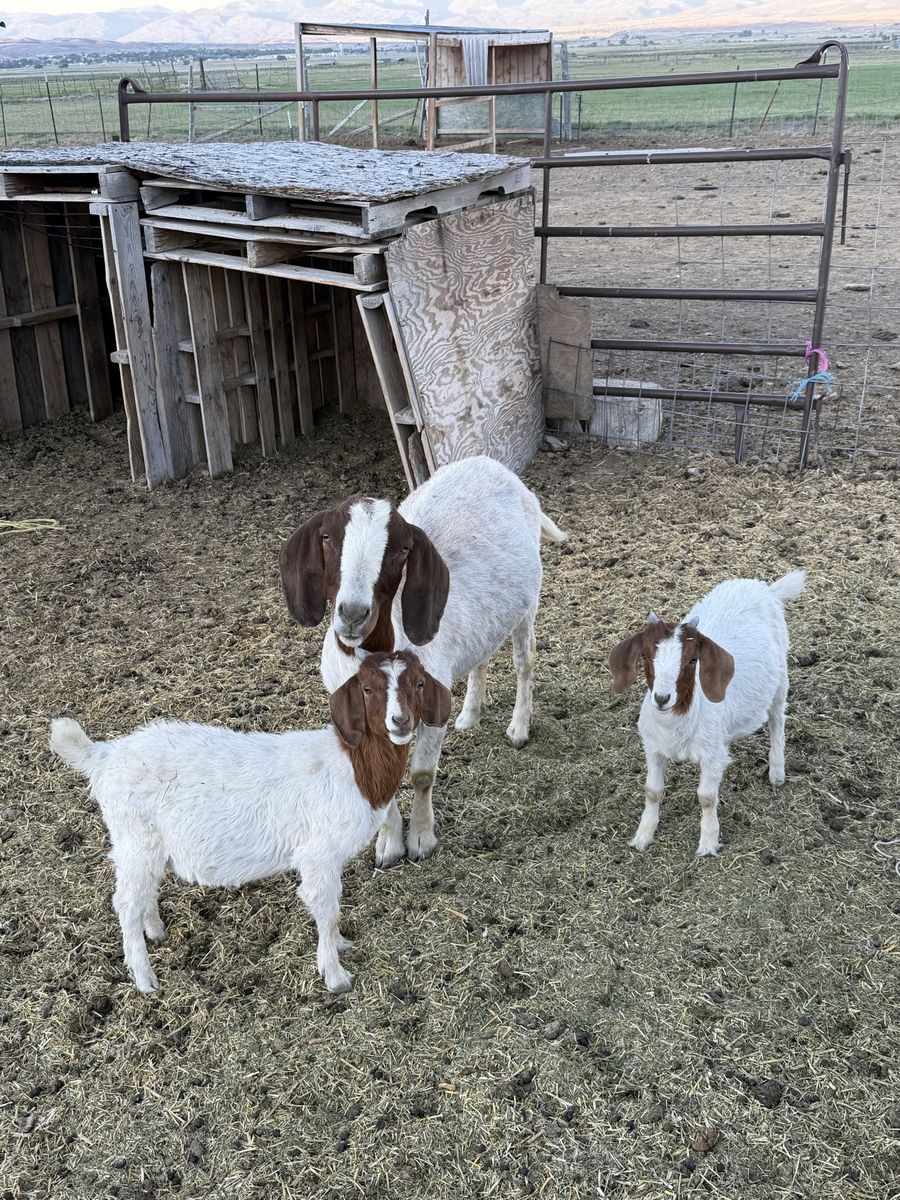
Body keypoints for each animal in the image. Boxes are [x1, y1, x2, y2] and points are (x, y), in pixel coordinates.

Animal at [49, 651, 450, 995]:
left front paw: (339, 945)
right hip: (135, 837)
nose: (400, 721)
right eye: (367, 689)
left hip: (147, 844)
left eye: (418, 683)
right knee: (126, 902)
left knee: (143, 890)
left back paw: (156, 931)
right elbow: (326, 908)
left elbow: (331, 910)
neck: (354, 767)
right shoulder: (318, 854)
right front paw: (335, 975)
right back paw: (145, 978)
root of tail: (103, 756)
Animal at [280, 455, 567, 869]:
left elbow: (422, 774)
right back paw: (470, 714)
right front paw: (388, 846)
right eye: (327, 539)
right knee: (481, 656)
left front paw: (420, 840)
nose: (353, 613)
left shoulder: (431, 702)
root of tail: (491, 463)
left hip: (528, 602)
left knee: (524, 661)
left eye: (402, 550)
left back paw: (518, 727)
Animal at [608, 570, 806, 856]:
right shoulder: (653, 747)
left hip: (780, 678)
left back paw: (777, 773)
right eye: (644, 656)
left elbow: (706, 797)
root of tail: (764, 588)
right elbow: (652, 790)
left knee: (777, 718)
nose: (662, 698)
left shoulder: (711, 756)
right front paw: (643, 835)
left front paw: (708, 843)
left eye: (693, 660)